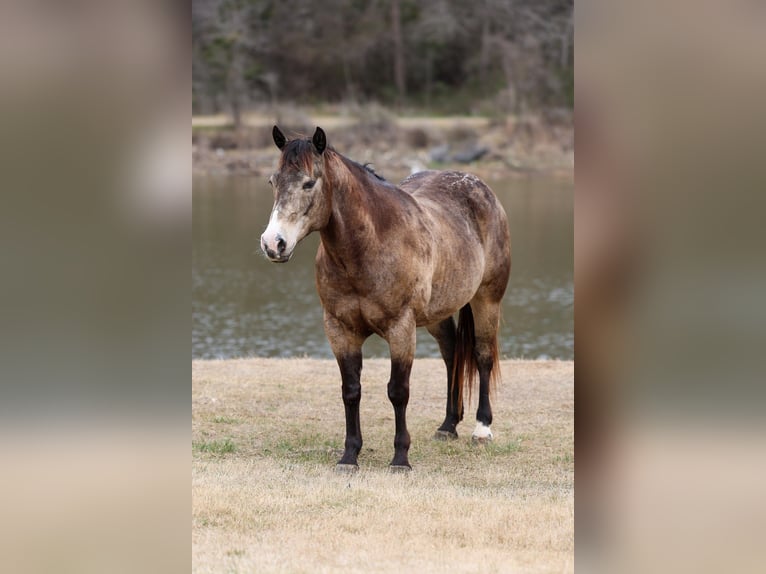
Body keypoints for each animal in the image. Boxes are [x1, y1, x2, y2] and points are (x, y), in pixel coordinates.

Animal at [261, 126, 511, 471]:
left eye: (309, 183)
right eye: (273, 181)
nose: (273, 243)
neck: (368, 247)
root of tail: (482, 189)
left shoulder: (400, 329)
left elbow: (398, 391)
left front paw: (400, 458)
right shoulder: (340, 330)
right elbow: (351, 391)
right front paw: (349, 456)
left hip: (487, 299)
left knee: (482, 355)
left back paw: (482, 429)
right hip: (438, 314)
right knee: (451, 355)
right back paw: (448, 425)